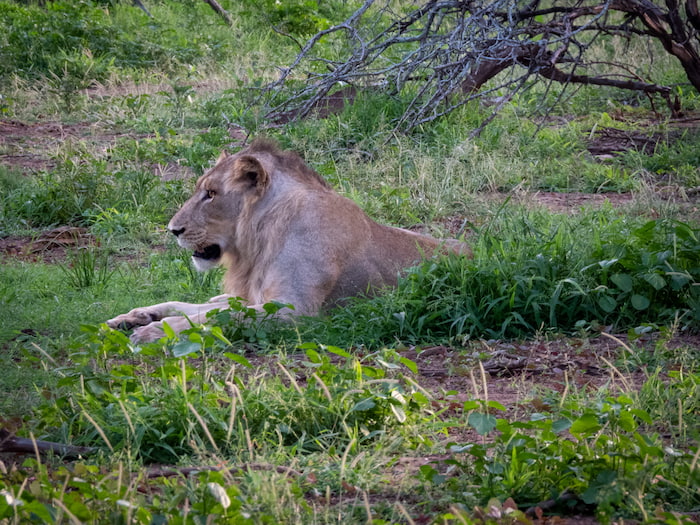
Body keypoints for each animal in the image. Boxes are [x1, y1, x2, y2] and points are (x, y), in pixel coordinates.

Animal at [107, 139, 470, 343]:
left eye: (210, 194)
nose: (173, 230)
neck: (261, 238)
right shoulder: (255, 297)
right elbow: (189, 307)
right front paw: (136, 316)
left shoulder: (296, 312)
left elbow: (213, 318)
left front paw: (155, 331)